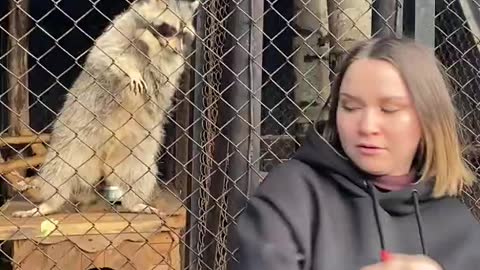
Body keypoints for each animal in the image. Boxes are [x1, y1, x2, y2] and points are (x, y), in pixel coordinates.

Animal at [13, 0, 199, 217]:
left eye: (184, 35)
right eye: (169, 29)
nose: (177, 49)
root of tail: (103, 162)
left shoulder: (170, 65)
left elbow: (164, 72)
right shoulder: (119, 31)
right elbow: (109, 53)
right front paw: (135, 62)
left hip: (137, 151)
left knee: (139, 174)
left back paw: (135, 203)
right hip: (74, 136)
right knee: (59, 171)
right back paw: (49, 203)